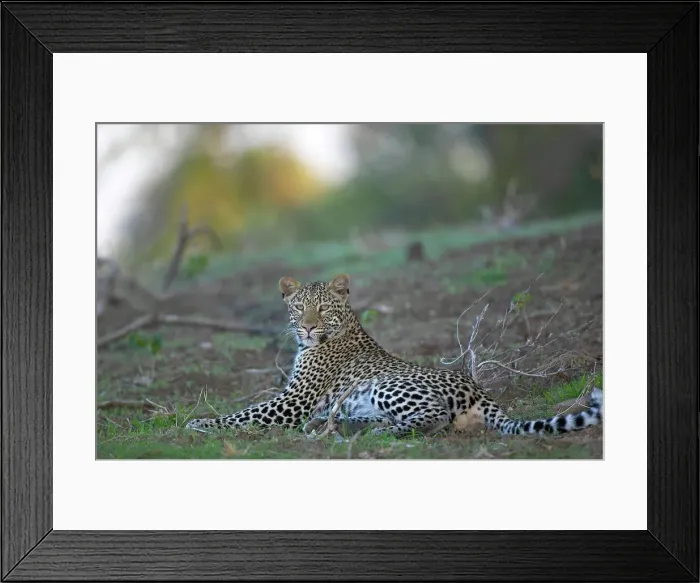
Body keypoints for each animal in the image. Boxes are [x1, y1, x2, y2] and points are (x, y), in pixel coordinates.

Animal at [186, 273, 603, 438]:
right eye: (299, 307)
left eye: (323, 309)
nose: (307, 327)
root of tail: (478, 390)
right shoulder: (296, 399)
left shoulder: (296, 400)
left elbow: (245, 413)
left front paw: (200, 423)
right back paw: (347, 425)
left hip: (388, 386)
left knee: (434, 419)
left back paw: (376, 431)